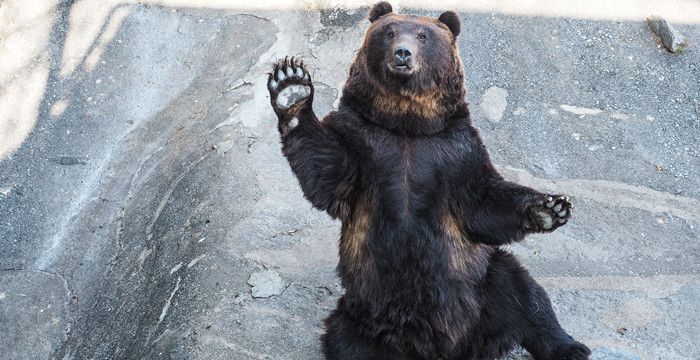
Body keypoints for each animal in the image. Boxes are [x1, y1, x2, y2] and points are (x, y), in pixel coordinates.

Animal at [266, 2, 592, 360]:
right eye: (390, 31)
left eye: (423, 35)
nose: (403, 53)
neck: (407, 126)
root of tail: (451, 348)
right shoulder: (363, 142)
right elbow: (328, 171)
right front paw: (291, 88)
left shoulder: (456, 152)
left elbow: (482, 203)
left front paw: (550, 208)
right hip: (362, 314)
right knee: (347, 341)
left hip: (483, 283)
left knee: (523, 292)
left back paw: (569, 347)